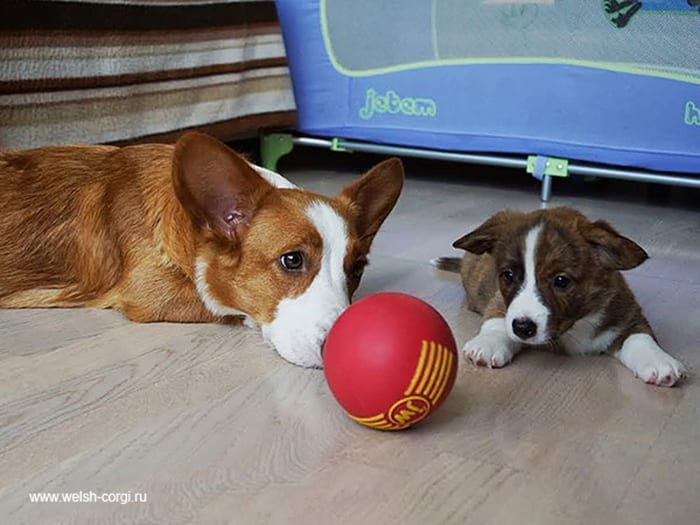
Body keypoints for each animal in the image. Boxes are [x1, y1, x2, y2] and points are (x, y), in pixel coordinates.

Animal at [434, 208, 688, 384]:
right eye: (508, 275)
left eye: (561, 280)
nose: (523, 328)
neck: (576, 324)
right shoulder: (499, 302)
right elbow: (497, 321)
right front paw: (487, 344)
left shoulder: (628, 315)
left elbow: (640, 339)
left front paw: (660, 361)